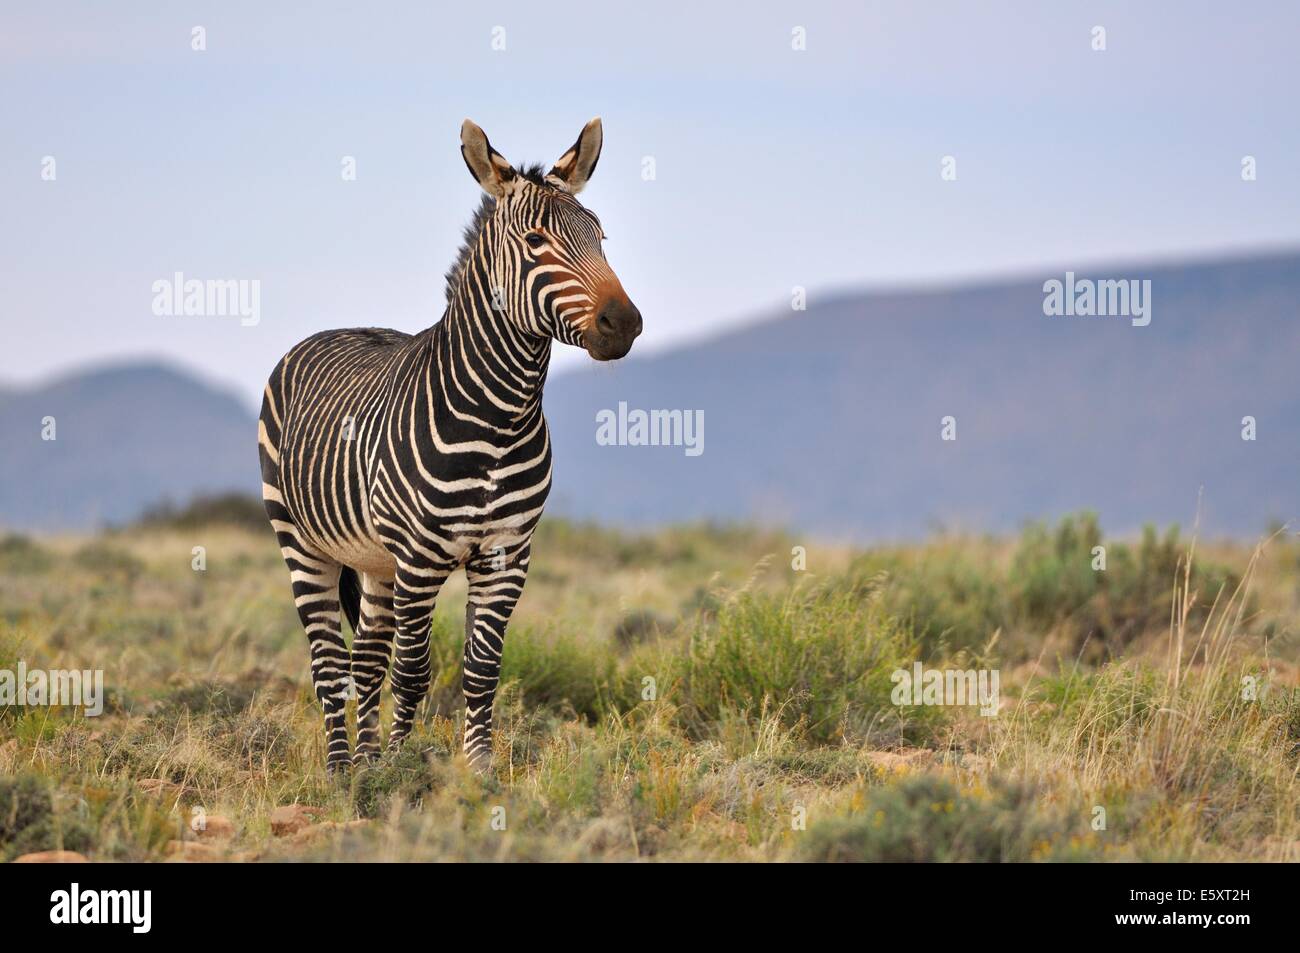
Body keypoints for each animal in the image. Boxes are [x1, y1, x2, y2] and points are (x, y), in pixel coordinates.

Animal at [256, 120, 642, 774]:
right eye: (535, 240)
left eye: (601, 237)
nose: (625, 324)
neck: (500, 417)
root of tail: (328, 330)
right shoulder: (420, 558)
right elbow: (413, 672)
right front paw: (401, 769)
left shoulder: (506, 556)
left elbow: (480, 670)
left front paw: (476, 770)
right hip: (301, 541)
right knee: (330, 664)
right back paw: (341, 771)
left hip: (374, 560)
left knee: (365, 657)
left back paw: (362, 763)